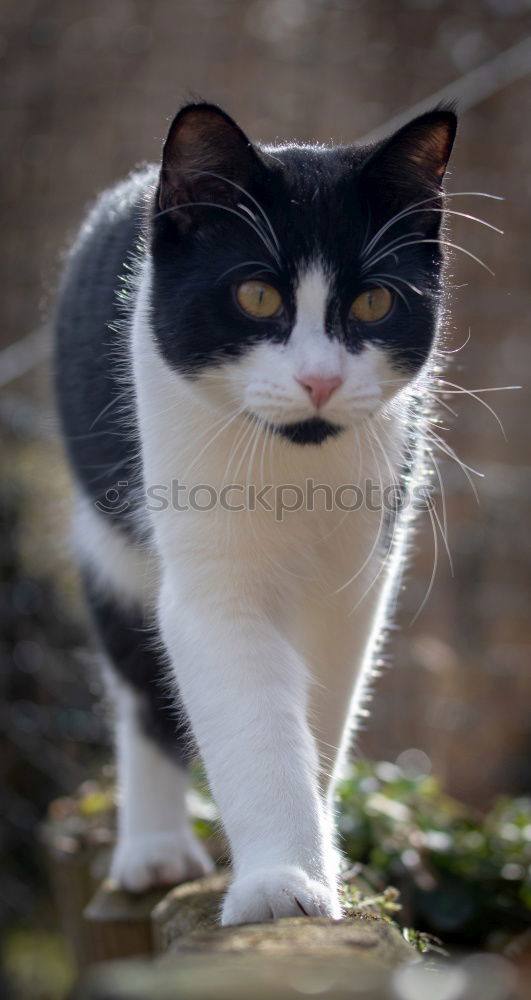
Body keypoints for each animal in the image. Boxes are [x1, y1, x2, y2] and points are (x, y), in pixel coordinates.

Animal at [54, 99, 458, 920]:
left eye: (374, 301)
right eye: (257, 296)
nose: (320, 380)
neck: (295, 464)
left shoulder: (358, 573)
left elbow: (323, 705)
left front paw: (319, 862)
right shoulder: (211, 572)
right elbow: (247, 708)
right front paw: (280, 884)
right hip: (106, 534)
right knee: (138, 682)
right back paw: (153, 850)